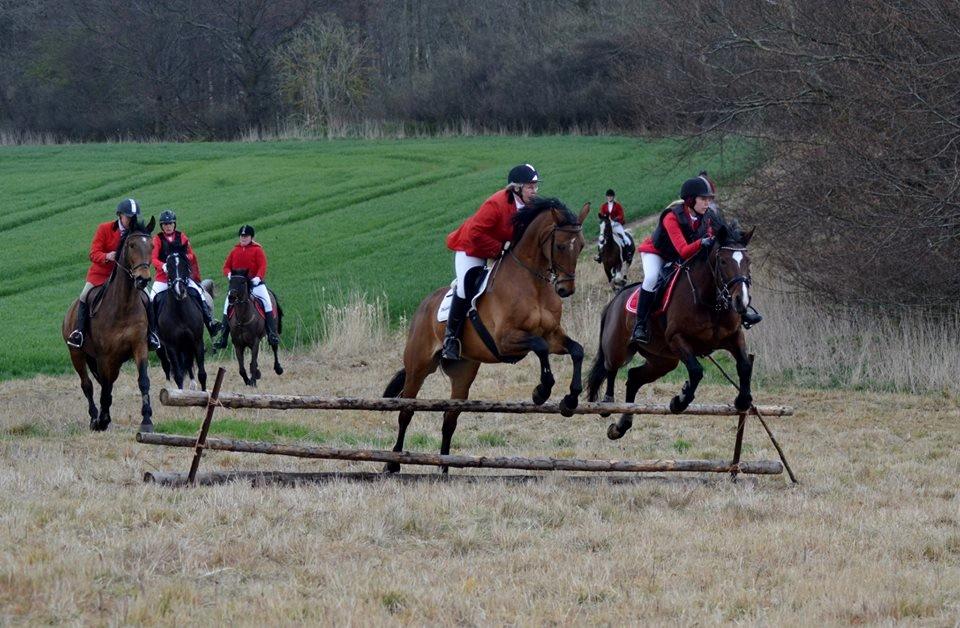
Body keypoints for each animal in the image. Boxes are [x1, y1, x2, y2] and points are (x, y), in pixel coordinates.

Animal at [62, 217, 157, 432]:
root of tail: (70, 309)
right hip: (77, 353)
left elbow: (143, 381)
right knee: (87, 384)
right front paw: (102, 420)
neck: (124, 305)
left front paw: (147, 420)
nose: (143, 279)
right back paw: (95, 418)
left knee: (108, 383)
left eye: (152, 246)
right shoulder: (104, 355)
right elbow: (102, 386)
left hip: (115, 360)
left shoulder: (139, 346)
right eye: (131, 245)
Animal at [156, 251, 208, 390]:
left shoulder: (197, 341)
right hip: (162, 348)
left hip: (187, 345)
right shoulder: (171, 347)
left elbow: (202, 374)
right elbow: (178, 376)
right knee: (166, 366)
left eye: (185, 266)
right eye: (169, 267)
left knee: (188, 363)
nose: (180, 291)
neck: (180, 313)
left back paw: (192, 384)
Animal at [382, 196, 592, 472]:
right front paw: (541, 391)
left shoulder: (553, 335)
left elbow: (576, 350)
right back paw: (393, 464)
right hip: (418, 366)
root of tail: (423, 306)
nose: (566, 289)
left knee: (450, 418)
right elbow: (540, 347)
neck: (533, 284)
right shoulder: (505, 340)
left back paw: (444, 468)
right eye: (559, 245)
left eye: (581, 246)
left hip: (463, 373)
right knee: (406, 411)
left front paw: (570, 400)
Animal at [584, 221, 756, 442]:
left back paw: (621, 426)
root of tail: (616, 299)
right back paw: (607, 403)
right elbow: (696, 370)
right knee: (610, 367)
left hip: (663, 360)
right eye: (723, 261)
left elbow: (744, 365)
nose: (741, 301)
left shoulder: (734, 337)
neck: (710, 301)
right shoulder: (677, 339)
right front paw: (679, 400)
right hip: (618, 347)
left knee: (633, 377)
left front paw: (742, 401)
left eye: (748, 261)